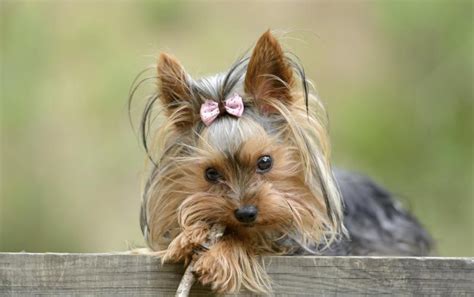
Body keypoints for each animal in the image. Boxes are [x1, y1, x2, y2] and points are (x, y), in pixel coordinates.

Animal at [134, 30, 434, 294]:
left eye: (265, 161)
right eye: (210, 174)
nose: (245, 213)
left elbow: (261, 243)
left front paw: (222, 254)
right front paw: (189, 235)